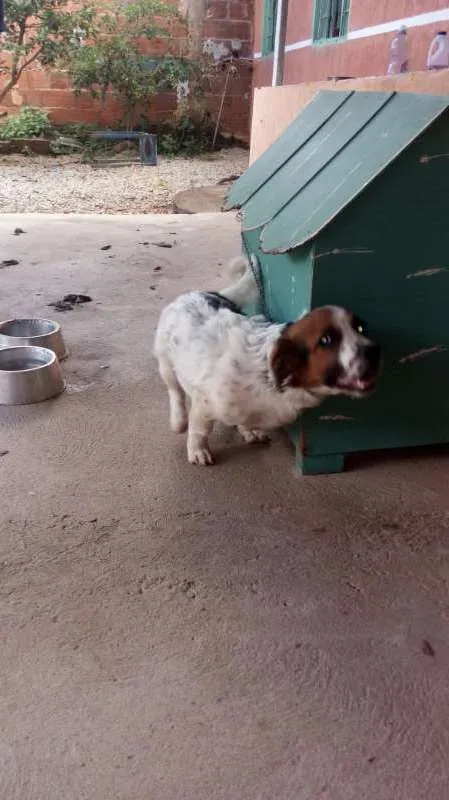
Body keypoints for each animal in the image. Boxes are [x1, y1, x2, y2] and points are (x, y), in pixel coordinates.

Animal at [155, 260, 382, 466]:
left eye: (360, 328)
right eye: (326, 340)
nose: (375, 350)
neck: (267, 374)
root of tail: (197, 294)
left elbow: (242, 420)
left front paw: (248, 430)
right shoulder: (204, 403)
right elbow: (199, 430)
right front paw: (197, 450)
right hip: (166, 365)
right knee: (175, 392)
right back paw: (178, 420)